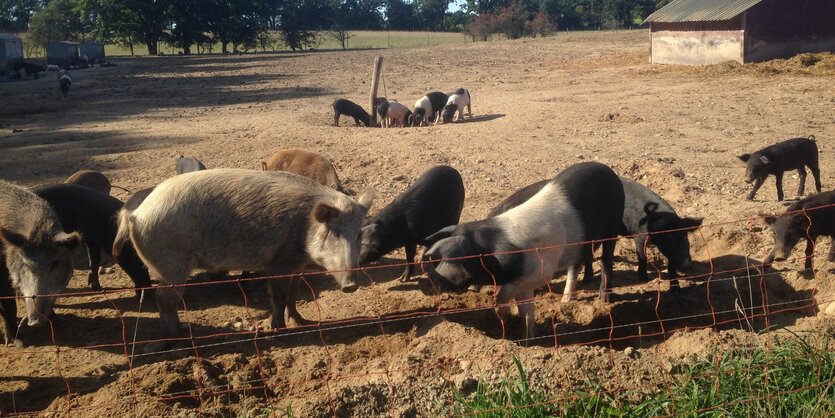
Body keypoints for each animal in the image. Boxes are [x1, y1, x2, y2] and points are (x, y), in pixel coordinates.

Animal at [1, 180, 81, 346]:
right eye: (25, 263)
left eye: (55, 263)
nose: (35, 322)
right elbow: (8, 306)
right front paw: (22, 342)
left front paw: (59, 323)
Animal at [112, 168, 374, 352]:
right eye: (334, 232)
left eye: (358, 234)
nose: (351, 285)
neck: (305, 228)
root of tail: (135, 214)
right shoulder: (278, 263)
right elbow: (280, 296)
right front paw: (279, 330)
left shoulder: (296, 266)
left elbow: (292, 295)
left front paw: (301, 321)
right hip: (173, 265)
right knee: (164, 300)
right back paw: (179, 338)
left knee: (161, 299)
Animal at [424, 162, 620, 340]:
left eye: (451, 258)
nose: (435, 279)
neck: (491, 254)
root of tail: (607, 170)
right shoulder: (524, 282)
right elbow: (527, 313)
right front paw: (528, 341)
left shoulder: (538, 272)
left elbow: (504, 296)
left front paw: (503, 315)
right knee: (575, 266)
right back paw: (565, 301)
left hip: (612, 228)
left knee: (606, 261)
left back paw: (604, 300)